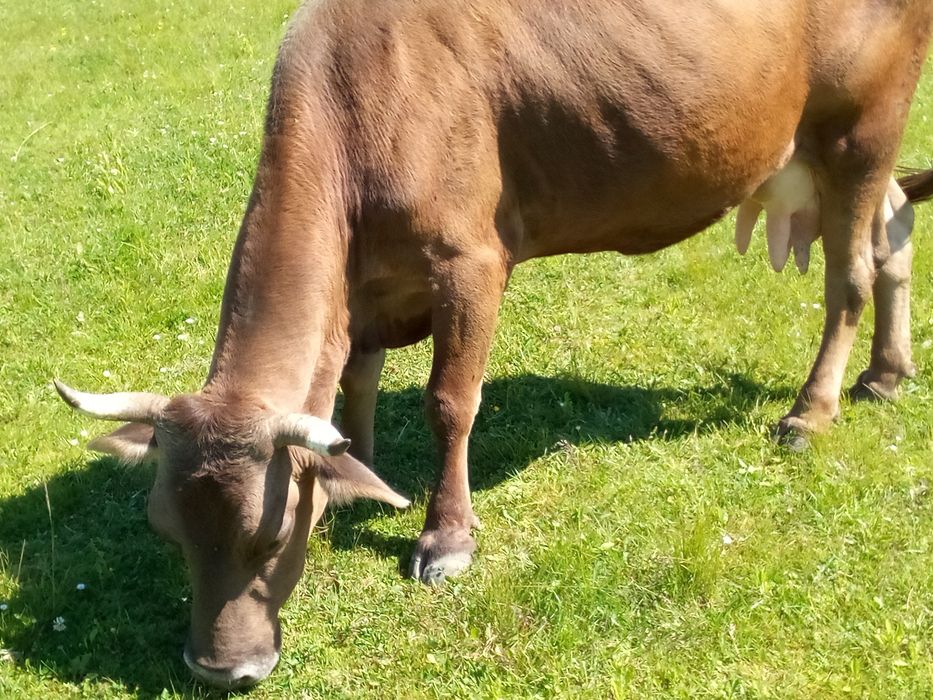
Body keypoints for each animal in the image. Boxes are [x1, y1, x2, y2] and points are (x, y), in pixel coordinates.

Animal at [55, 0, 933, 689]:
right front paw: (359, 476)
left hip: (860, 127)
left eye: (268, 539)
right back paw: (886, 376)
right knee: (892, 232)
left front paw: (445, 538)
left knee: (850, 275)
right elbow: (354, 389)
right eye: (166, 530)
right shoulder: (369, 287)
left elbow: (450, 402)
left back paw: (810, 411)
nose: (219, 669)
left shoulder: (469, 261)